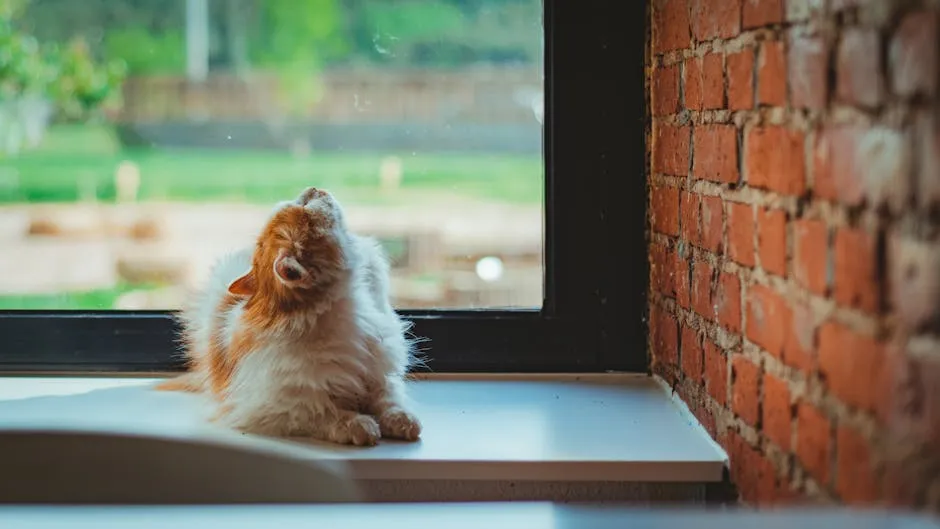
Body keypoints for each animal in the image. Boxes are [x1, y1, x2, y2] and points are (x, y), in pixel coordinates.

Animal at [158, 187, 422, 446]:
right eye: (304, 207)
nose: (314, 188)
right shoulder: (280, 406)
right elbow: (326, 414)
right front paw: (361, 426)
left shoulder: (379, 369)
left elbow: (388, 398)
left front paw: (402, 421)